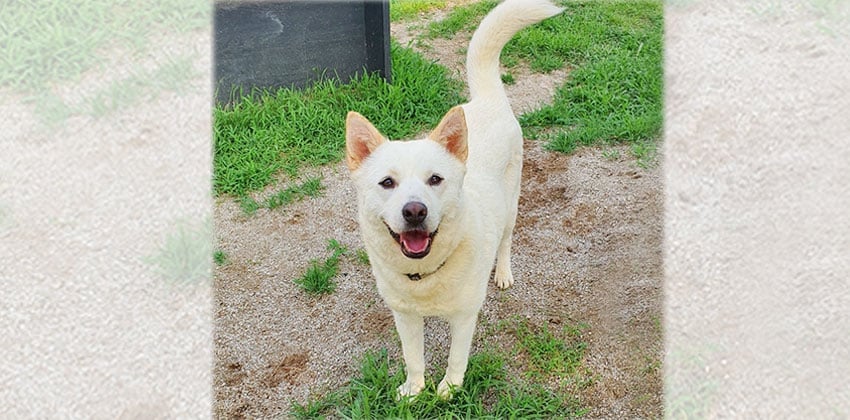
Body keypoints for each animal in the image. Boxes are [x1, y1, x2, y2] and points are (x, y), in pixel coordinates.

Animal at [344, 0, 564, 400]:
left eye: (435, 179)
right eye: (387, 182)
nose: (415, 211)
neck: (424, 275)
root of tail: (486, 100)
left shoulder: (464, 317)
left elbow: (456, 359)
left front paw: (447, 391)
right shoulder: (405, 317)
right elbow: (413, 358)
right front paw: (414, 392)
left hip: (511, 205)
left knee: (506, 241)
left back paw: (503, 273)